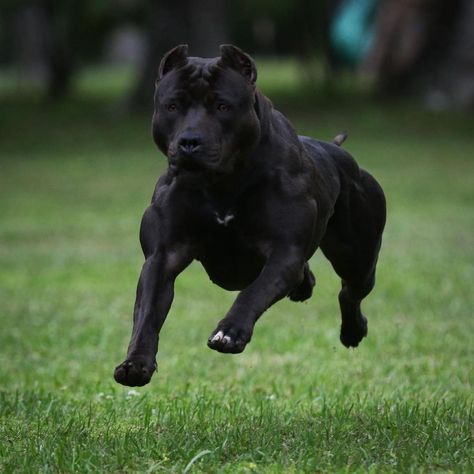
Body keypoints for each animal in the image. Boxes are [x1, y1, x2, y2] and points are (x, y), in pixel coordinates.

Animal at [114, 44, 386, 386]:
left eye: (223, 106)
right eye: (172, 105)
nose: (190, 141)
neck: (224, 181)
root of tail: (334, 149)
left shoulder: (284, 253)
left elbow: (254, 292)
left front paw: (229, 332)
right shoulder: (163, 256)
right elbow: (147, 312)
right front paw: (136, 363)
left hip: (357, 257)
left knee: (350, 291)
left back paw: (353, 330)